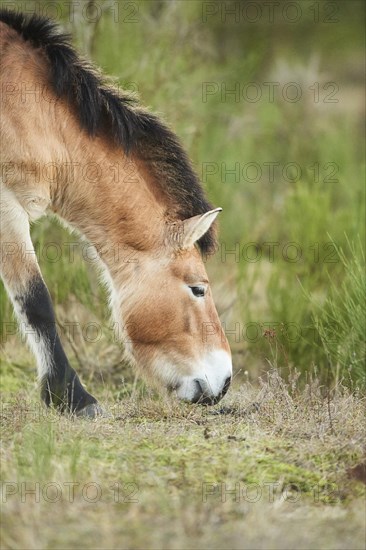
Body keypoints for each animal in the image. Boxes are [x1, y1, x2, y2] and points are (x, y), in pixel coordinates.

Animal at [0, 9, 232, 418]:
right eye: (198, 288)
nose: (225, 382)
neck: (34, 113)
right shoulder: (7, 204)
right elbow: (36, 300)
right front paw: (73, 397)